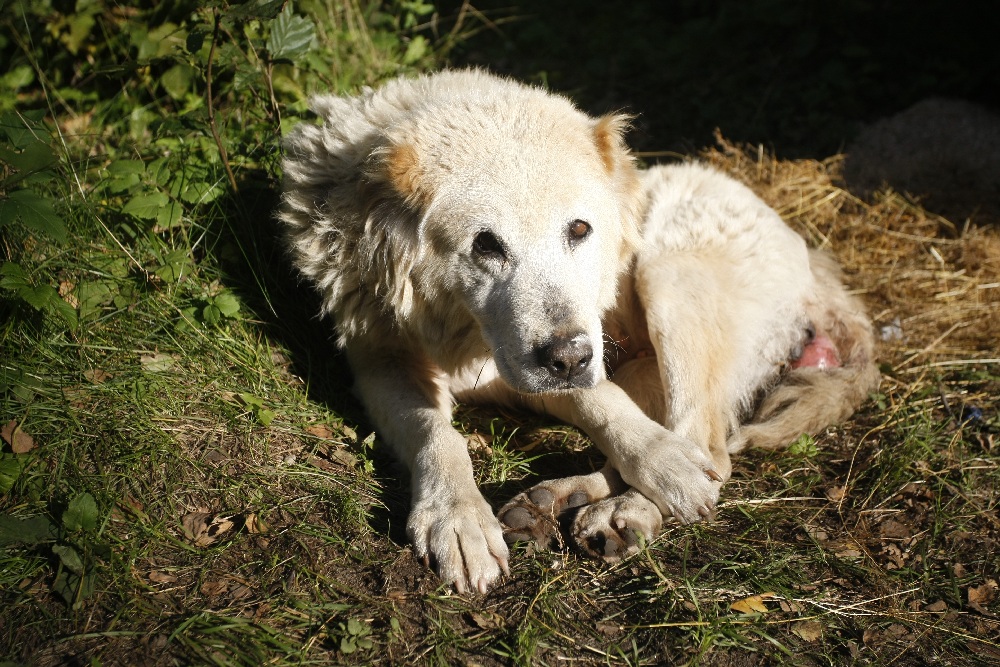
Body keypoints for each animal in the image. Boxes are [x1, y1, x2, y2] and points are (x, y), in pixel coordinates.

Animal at [280, 70, 876, 596]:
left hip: (664, 271)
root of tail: (813, 259)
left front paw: (663, 464)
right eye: (486, 245)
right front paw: (458, 517)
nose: (568, 357)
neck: (464, 334)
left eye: (580, 229)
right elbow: (438, 434)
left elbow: (605, 405)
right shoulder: (381, 364)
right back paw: (563, 501)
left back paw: (628, 507)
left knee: (708, 446)